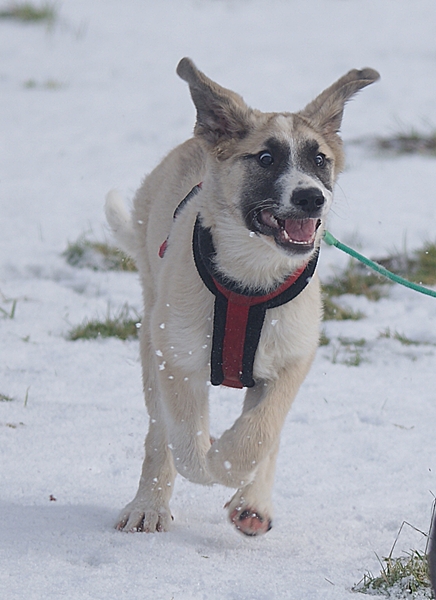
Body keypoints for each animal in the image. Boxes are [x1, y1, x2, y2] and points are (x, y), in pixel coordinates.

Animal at [105, 57, 378, 536]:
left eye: (319, 159)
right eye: (266, 158)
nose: (312, 197)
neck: (253, 274)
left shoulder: (292, 358)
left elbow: (260, 433)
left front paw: (240, 478)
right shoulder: (176, 356)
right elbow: (188, 446)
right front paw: (213, 457)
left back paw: (253, 502)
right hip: (152, 336)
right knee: (160, 434)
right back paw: (149, 505)